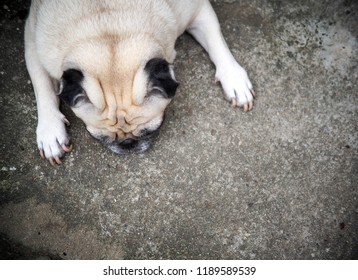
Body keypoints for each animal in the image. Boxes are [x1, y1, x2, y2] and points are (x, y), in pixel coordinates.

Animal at [24, 0, 255, 165]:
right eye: (100, 137)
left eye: (151, 130)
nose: (128, 144)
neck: (108, 26)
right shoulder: (33, 40)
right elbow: (43, 89)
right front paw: (50, 131)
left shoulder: (198, 11)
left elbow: (217, 42)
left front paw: (233, 78)